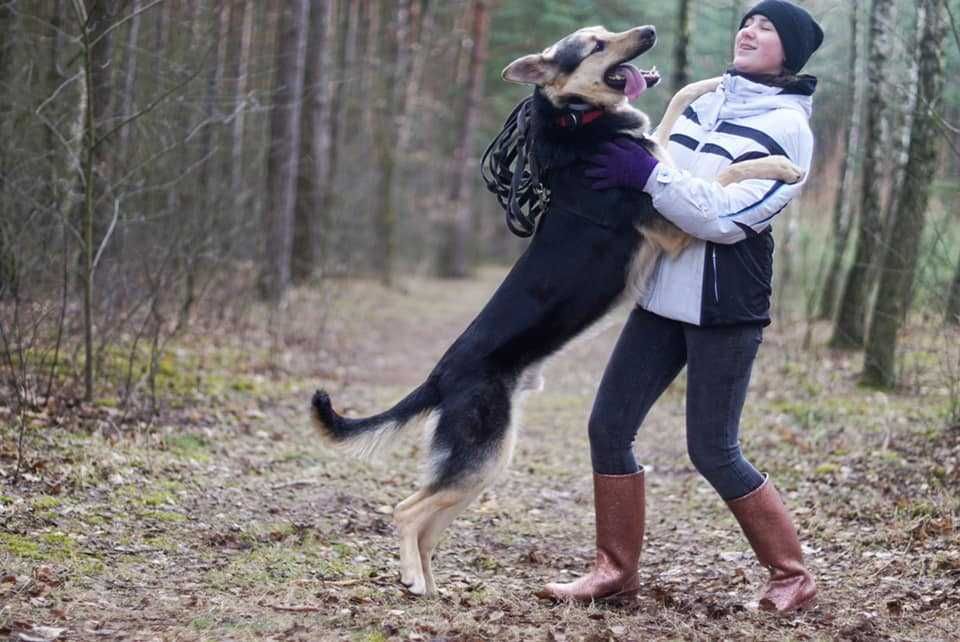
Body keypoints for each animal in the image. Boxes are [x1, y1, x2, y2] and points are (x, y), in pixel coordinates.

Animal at [314, 25, 804, 596]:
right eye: (595, 45)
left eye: (607, 33)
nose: (648, 31)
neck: (578, 119)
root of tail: (439, 375)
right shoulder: (671, 225)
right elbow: (727, 176)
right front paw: (782, 166)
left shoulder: (660, 165)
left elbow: (670, 119)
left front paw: (706, 85)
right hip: (483, 455)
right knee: (405, 510)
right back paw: (414, 581)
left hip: (485, 466)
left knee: (427, 519)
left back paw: (433, 585)